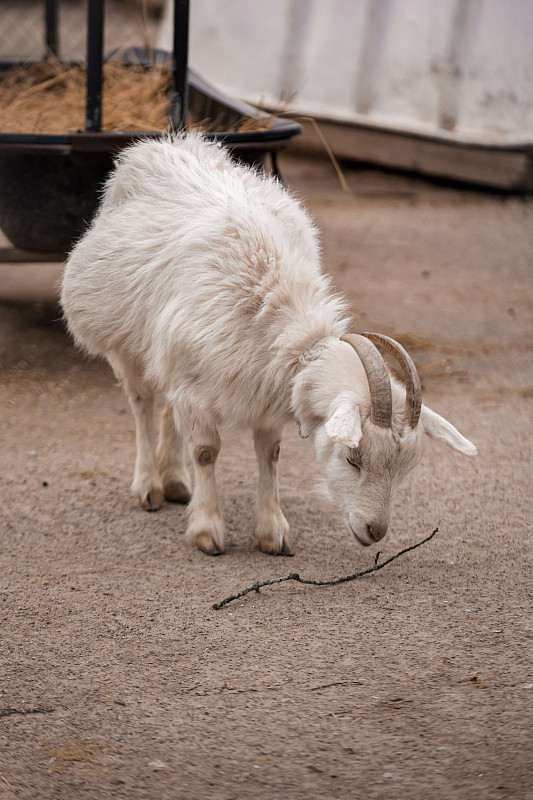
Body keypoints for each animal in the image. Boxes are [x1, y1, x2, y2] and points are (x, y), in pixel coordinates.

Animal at [60, 133, 476, 556]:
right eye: (353, 459)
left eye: (406, 468)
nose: (375, 531)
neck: (273, 307)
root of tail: (167, 143)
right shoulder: (196, 388)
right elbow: (205, 452)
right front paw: (207, 529)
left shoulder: (263, 390)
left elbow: (270, 454)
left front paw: (272, 531)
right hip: (125, 344)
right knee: (142, 403)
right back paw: (149, 486)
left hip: (167, 356)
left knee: (167, 408)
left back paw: (175, 480)